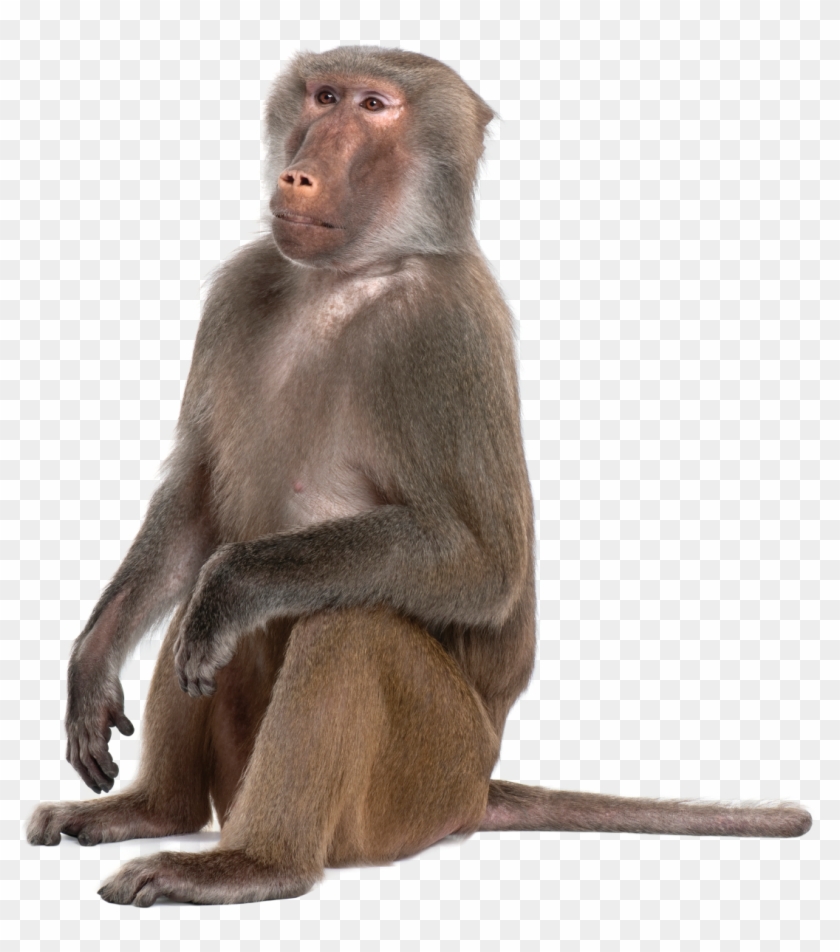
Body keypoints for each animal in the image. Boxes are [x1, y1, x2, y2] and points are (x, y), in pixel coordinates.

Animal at [26, 47, 811, 906]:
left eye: (375, 106)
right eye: (324, 96)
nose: (300, 174)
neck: (349, 275)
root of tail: (477, 788)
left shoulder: (445, 329)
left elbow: (483, 563)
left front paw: (237, 584)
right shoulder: (240, 287)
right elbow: (197, 507)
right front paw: (92, 667)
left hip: (422, 781)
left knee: (349, 623)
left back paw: (254, 864)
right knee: (202, 607)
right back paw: (154, 811)